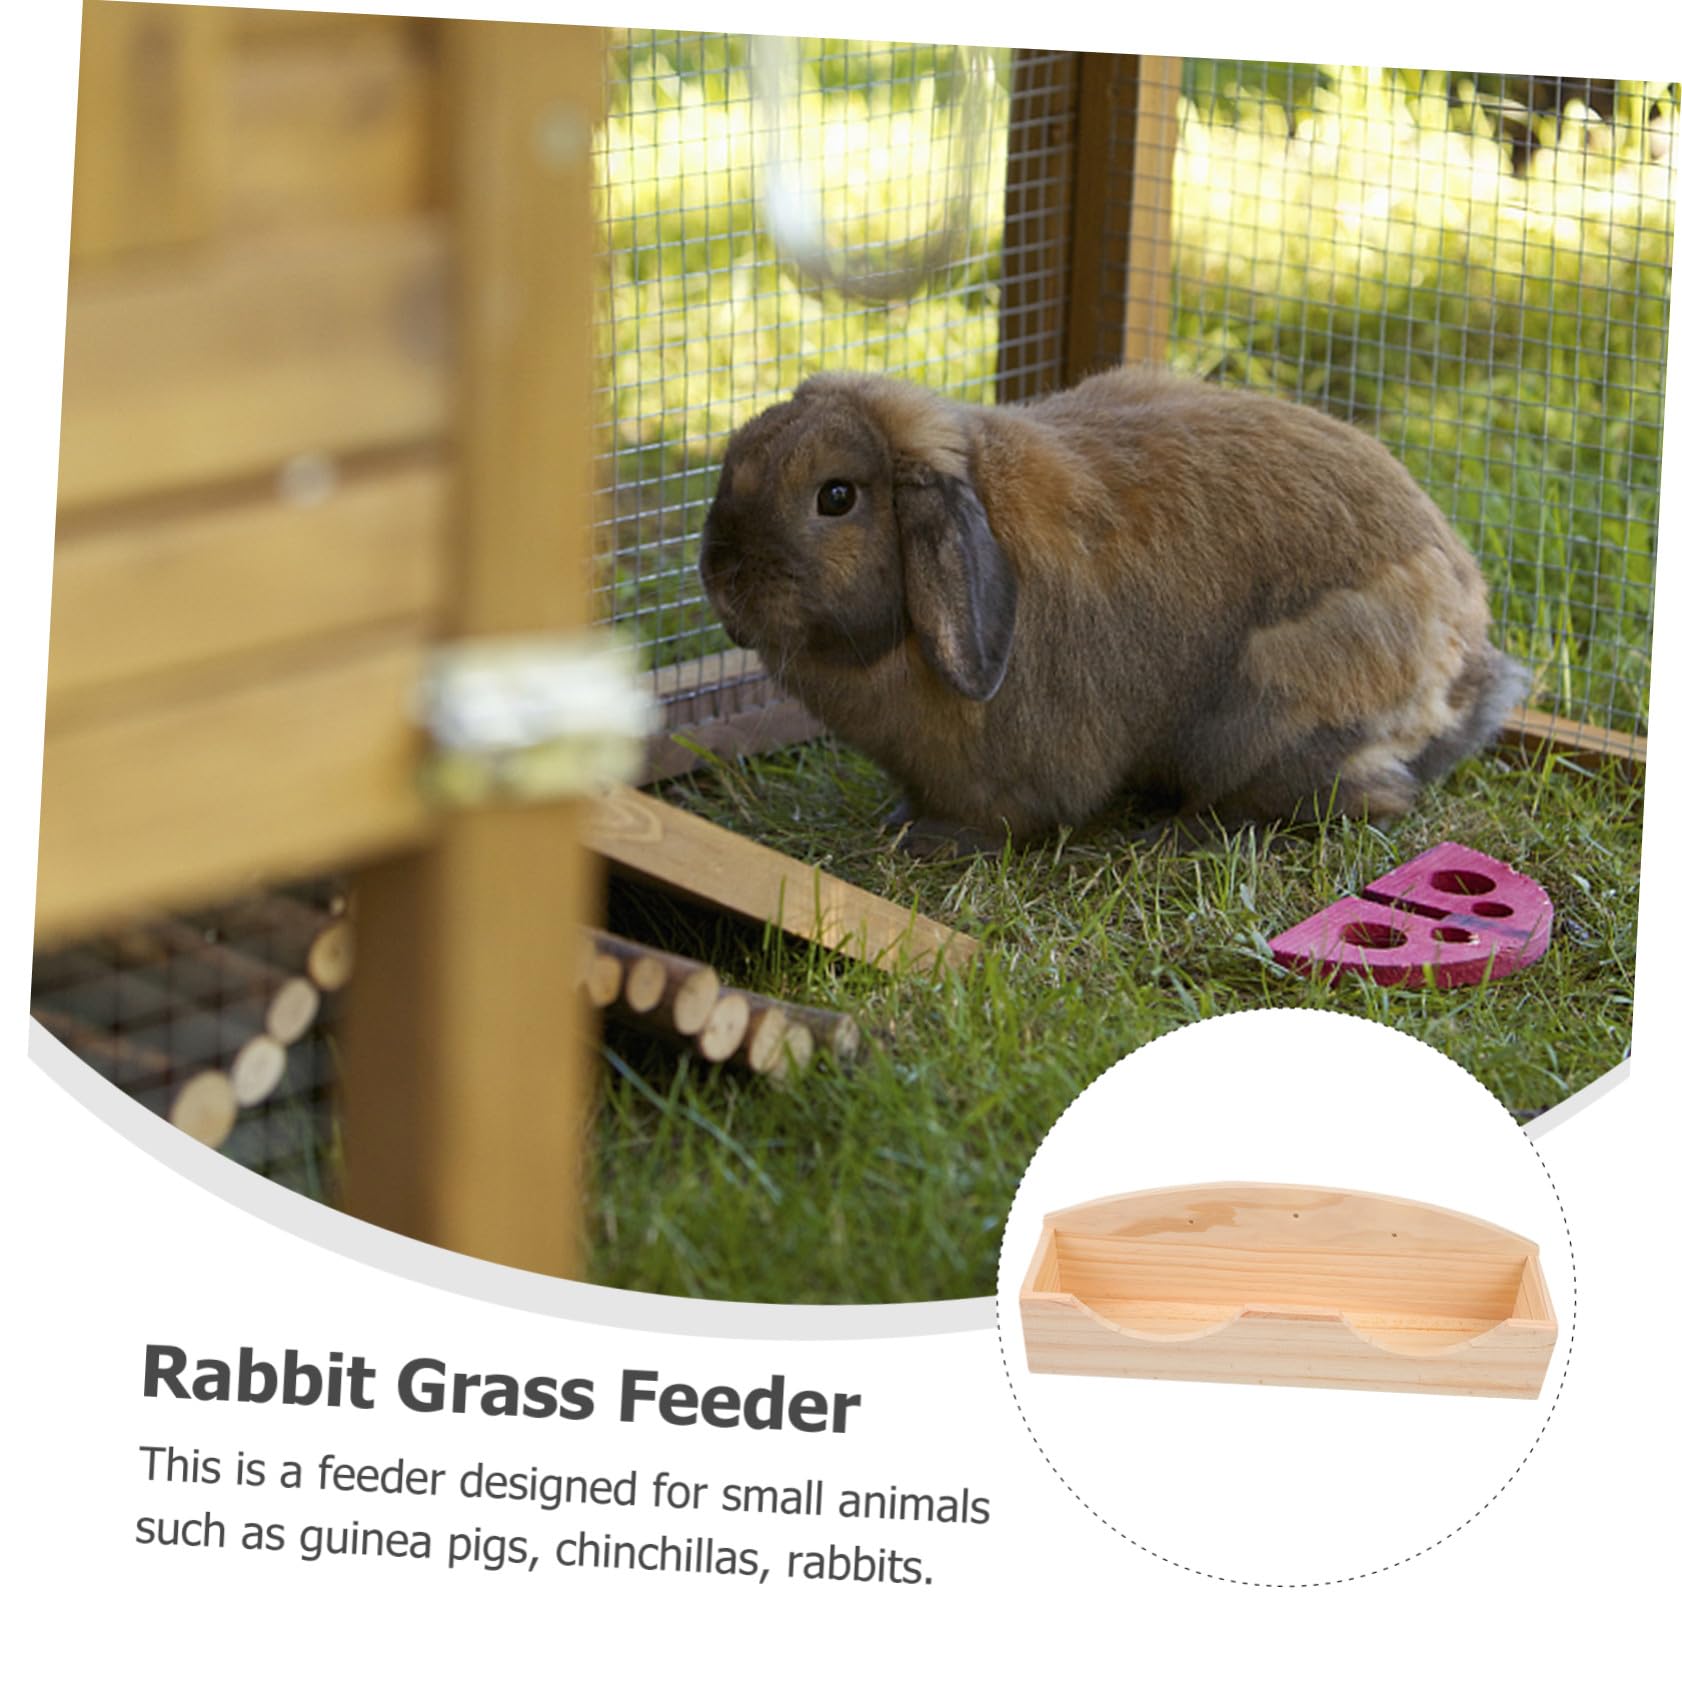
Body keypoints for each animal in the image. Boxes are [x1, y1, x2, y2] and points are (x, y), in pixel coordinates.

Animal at [697, 366, 1529, 853]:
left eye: (836, 496)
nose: (719, 576)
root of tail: (1465, 662)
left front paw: (930, 840)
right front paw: (900, 821)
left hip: (1272, 711)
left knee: (1374, 795)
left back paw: (1188, 831)